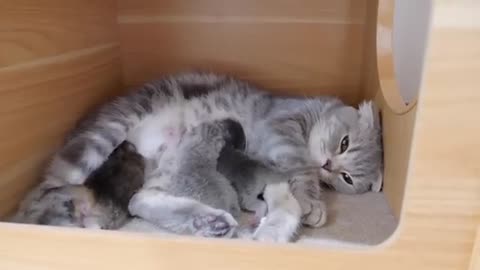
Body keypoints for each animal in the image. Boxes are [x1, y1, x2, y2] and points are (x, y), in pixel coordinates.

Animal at [16, 71, 382, 243]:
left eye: (348, 178)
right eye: (344, 143)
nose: (329, 166)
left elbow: (284, 204)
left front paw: (275, 228)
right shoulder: (281, 128)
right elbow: (299, 167)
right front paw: (310, 201)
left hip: (162, 171)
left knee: (139, 201)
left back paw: (210, 221)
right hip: (99, 140)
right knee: (43, 196)